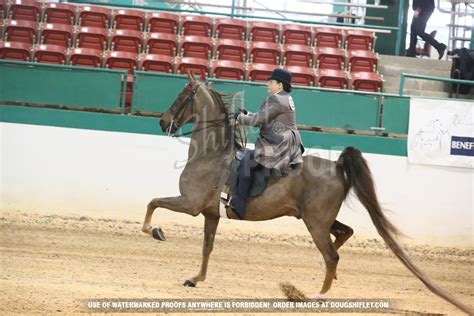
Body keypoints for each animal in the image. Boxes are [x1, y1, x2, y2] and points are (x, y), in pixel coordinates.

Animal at [141, 72, 470, 314]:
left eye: (182, 96)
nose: (162, 121)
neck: (211, 156)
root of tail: (336, 165)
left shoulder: (190, 204)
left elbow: (153, 202)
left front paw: (155, 231)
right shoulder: (211, 213)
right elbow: (206, 247)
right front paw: (196, 279)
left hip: (315, 223)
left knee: (332, 255)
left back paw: (316, 295)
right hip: (318, 219)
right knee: (343, 236)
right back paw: (325, 279)